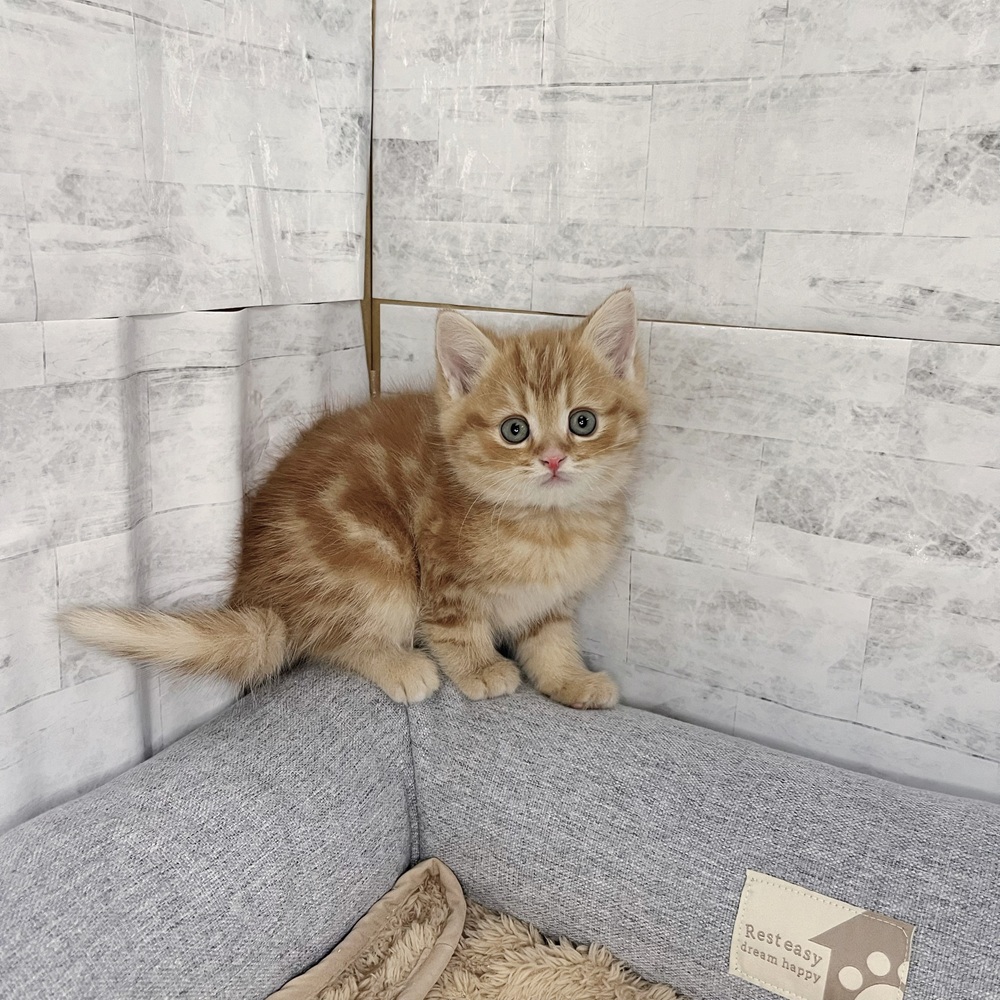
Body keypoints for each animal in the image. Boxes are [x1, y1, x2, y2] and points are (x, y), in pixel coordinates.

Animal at [61, 289, 648, 709]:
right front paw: (480, 668)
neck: (548, 525)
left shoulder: (552, 601)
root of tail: (259, 593)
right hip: (375, 559)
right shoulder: (440, 573)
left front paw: (571, 680)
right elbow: (455, 626)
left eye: (582, 422)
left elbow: (551, 639)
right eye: (514, 430)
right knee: (330, 639)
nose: (553, 459)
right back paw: (400, 665)